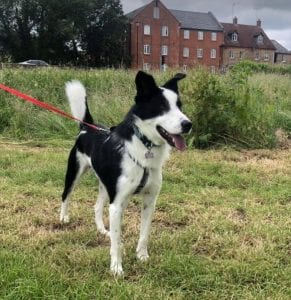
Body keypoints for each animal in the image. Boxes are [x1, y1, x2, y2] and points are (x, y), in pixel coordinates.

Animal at [60, 71, 193, 276]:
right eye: (162, 107)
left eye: (180, 106)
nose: (188, 124)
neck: (145, 147)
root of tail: (87, 127)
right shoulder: (117, 205)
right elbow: (117, 242)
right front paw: (116, 268)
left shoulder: (149, 201)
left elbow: (144, 234)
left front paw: (142, 256)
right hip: (74, 172)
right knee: (66, 195)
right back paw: (63, 218)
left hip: (105, 185)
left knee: (97, 206)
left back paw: (101, 230)